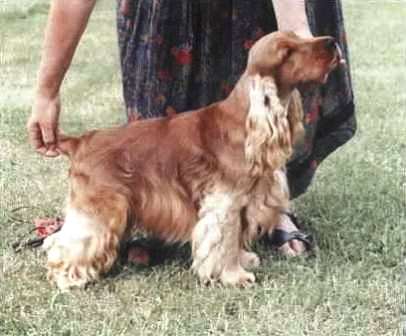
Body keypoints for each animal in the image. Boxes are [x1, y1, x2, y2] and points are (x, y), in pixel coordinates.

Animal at [43, 31, 342, 288]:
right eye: (287, 51)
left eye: (299, 36)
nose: (332, 42)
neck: (243, 120)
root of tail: (81, 141)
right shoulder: (224, 202)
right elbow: (225, 241)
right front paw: (234, 276)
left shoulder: (243, 200)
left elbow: (236, 238)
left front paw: (245, 260)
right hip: (100, 209)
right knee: (65, 243)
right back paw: (68, 278)